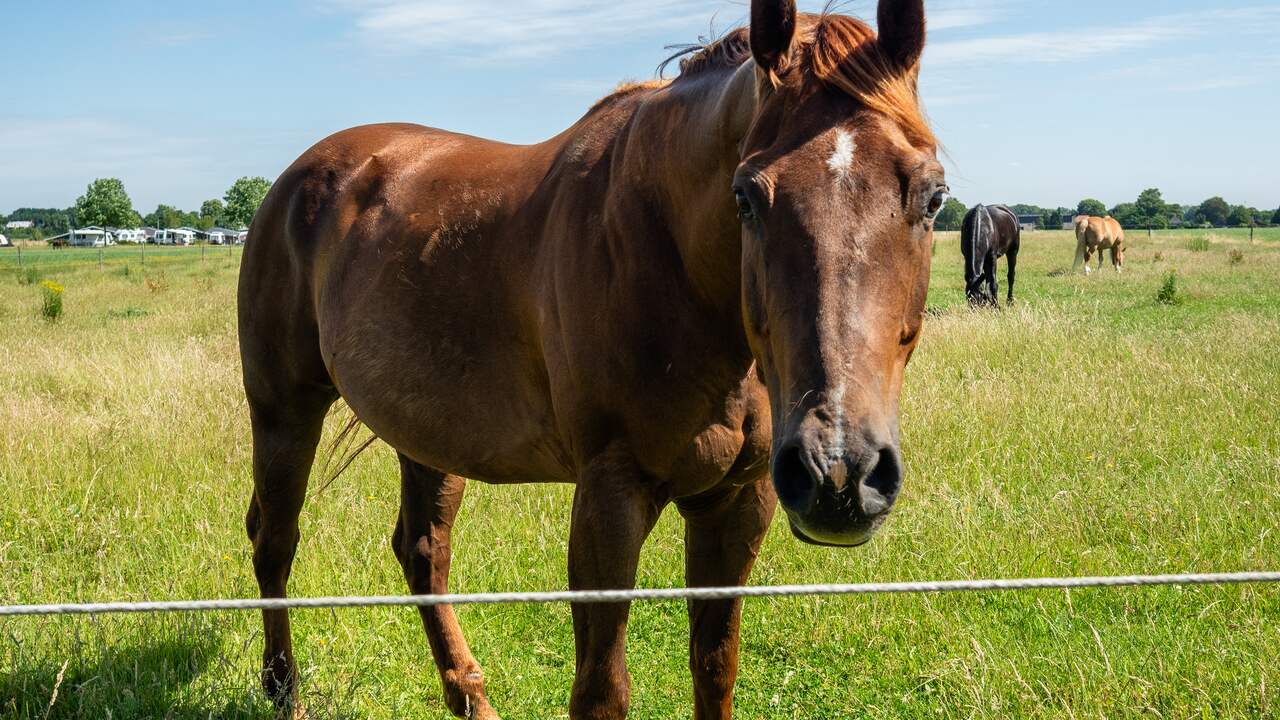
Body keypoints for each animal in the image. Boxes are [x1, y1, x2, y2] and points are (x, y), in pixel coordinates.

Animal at [237, 1, 943, 717]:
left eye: (933, 196)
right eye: (746, 196)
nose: (840, 473)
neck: (664, 256)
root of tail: (299, 178)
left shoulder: (738, 501)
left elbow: (715, 667)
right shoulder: (612, 495)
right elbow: (603, 690)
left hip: (426, 433)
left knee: (422, 550)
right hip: (283, 411)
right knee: (275, 540)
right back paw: (284, 690)